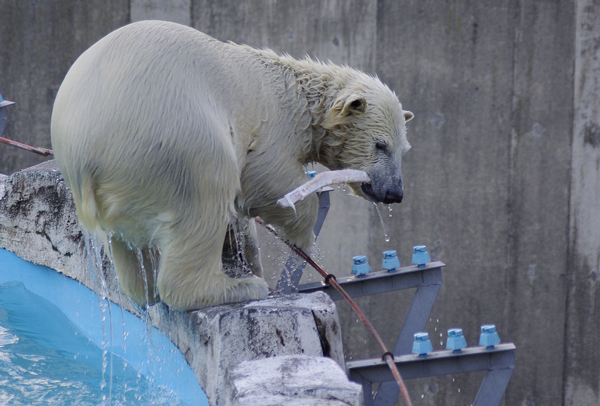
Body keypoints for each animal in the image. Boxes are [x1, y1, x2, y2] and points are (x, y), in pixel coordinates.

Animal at [50, 19, 412, 310]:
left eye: (403, 150)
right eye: (381, 145)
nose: (395, 193)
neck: (296, 95)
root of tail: (82, 152)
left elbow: (241, 217)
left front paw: (248, 254)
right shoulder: (270, 124)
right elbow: (265, 178)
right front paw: (302, 237)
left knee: (129, 241)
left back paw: (146, 289)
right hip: (173, 139)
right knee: (205, 195)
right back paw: (238, 288)